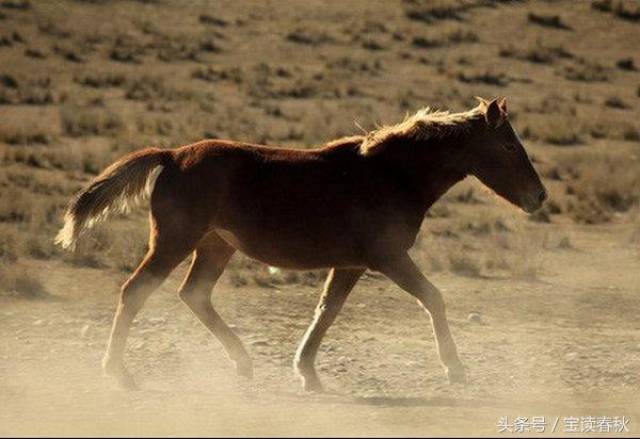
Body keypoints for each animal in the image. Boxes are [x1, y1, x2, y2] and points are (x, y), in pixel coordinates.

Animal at [55, 97, 548, 392]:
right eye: (508, 145)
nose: (539, 196)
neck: (392, 175)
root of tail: (172, 156)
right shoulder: (387, 257)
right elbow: (433, 297)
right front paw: (455, 368)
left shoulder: (351, 263)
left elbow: (327, 309)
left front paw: (307, 372)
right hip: (176, 241)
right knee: (135, 291)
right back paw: (119, 372)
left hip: (215, 245)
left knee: (194, 294)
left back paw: (243, 363)